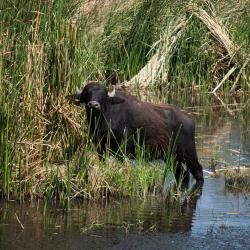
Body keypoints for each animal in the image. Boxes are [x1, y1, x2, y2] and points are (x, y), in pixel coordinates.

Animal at [66, 81, 203, 185]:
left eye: (103, 95)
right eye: (86, 93)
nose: (93, 105)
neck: (103, 121)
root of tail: (190, 121)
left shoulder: (122, 151)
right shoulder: (101, 149)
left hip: (189, 154)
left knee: (198, 171)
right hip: (171, 157)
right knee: (182, 175)